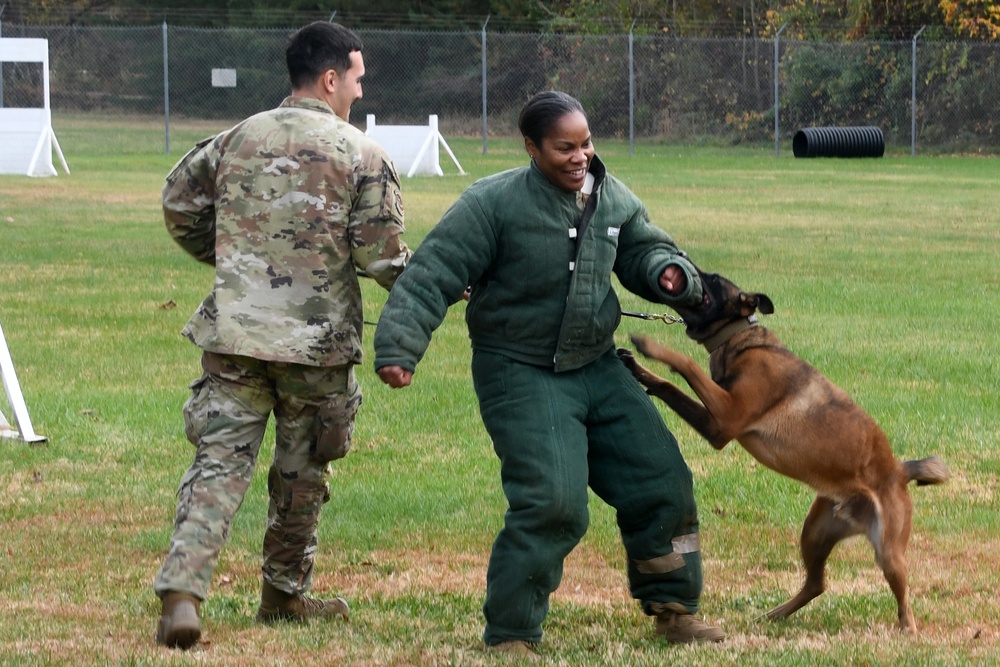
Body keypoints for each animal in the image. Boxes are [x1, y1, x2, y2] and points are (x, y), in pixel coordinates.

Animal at [620, 270, 948, 632]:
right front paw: (640, 370)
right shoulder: (717, 423)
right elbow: (669, 386)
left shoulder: (725, 417)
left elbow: (686, 364)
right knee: (816, 584)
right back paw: (773, 614)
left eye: (714, 279)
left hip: (888, 552)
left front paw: (649, 347)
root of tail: (899, 470)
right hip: (815, 533)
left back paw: (906, 629)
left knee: (900, 595)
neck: (740, 339)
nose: (682, 266)